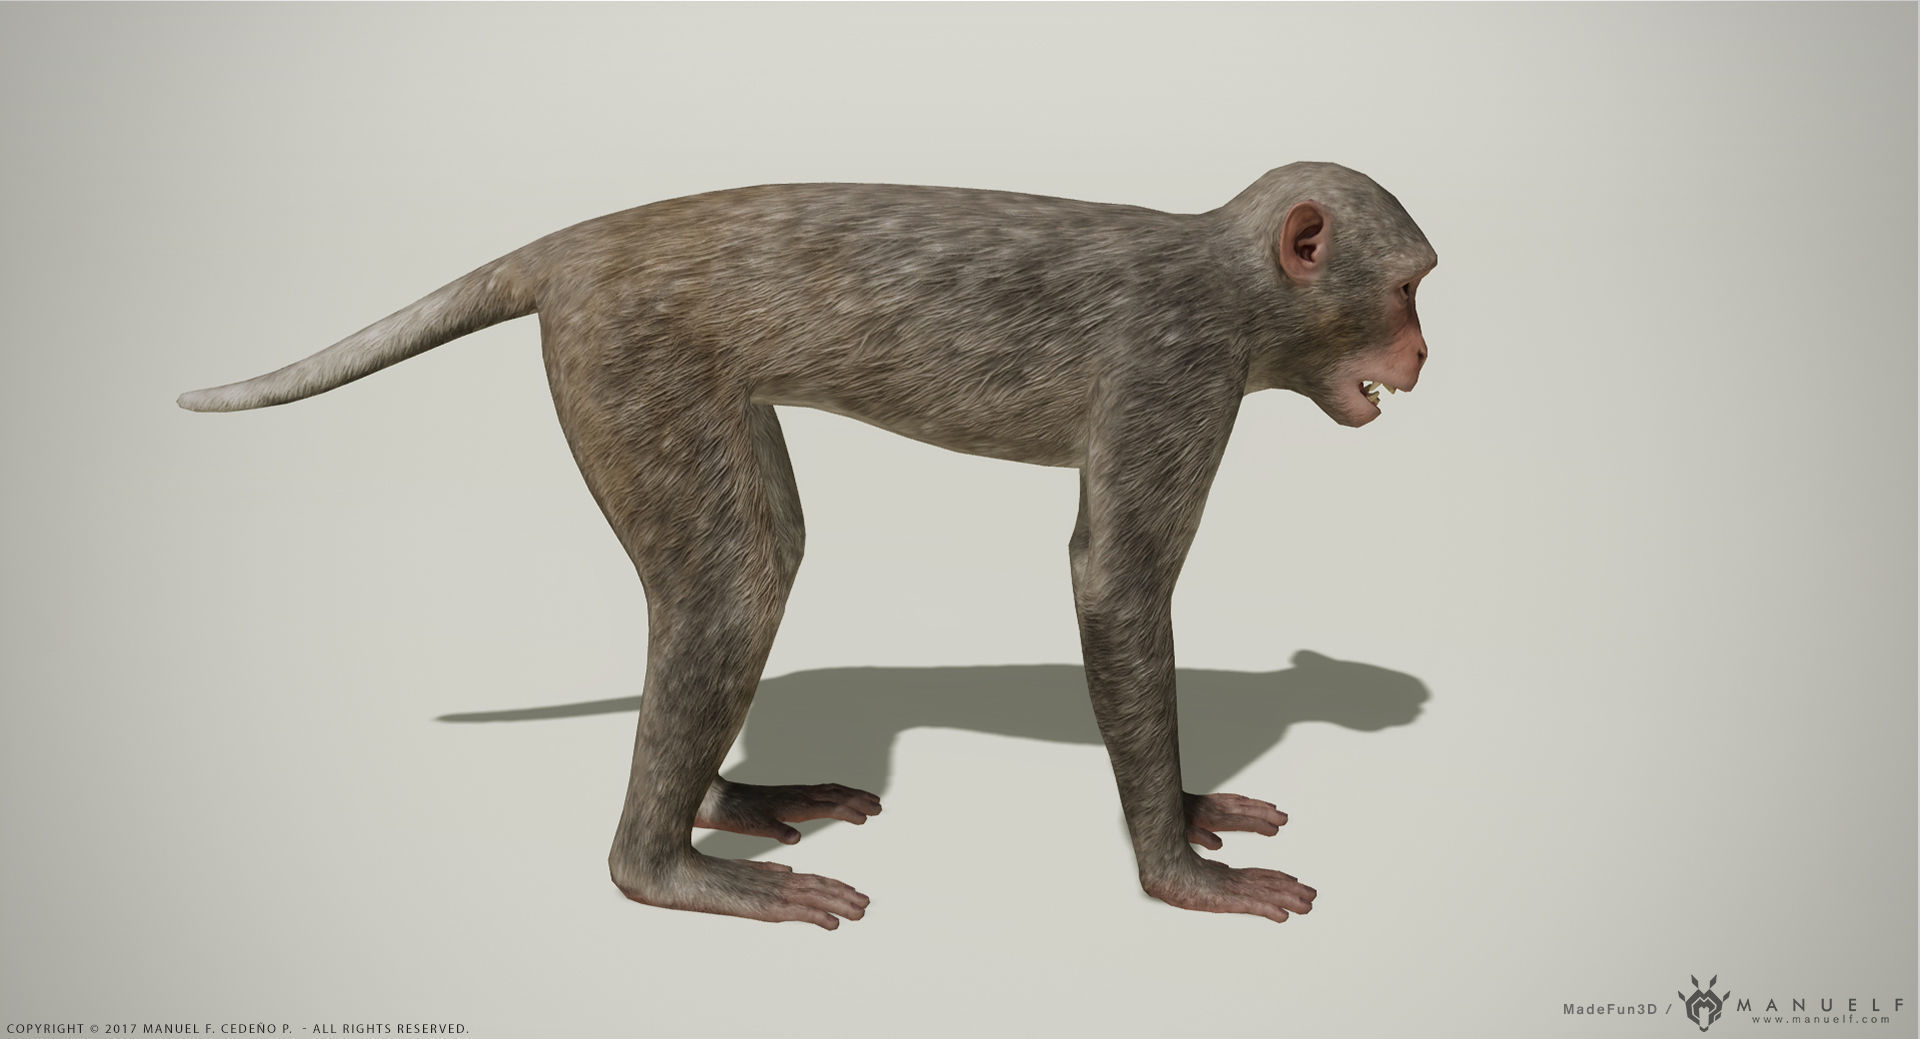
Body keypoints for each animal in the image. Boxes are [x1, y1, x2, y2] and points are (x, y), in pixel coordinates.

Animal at [179, 161, 1436, 930]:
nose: (1425, 355)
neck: (1233, 281)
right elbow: (1114, 585)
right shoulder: (1179, 372)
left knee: (755, 557)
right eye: (1408, 290)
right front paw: (1175, 865)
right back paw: (665, 867)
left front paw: (1186, 809)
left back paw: (719, 800)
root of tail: (579, 242)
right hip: (623, 352)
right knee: (737, 584)